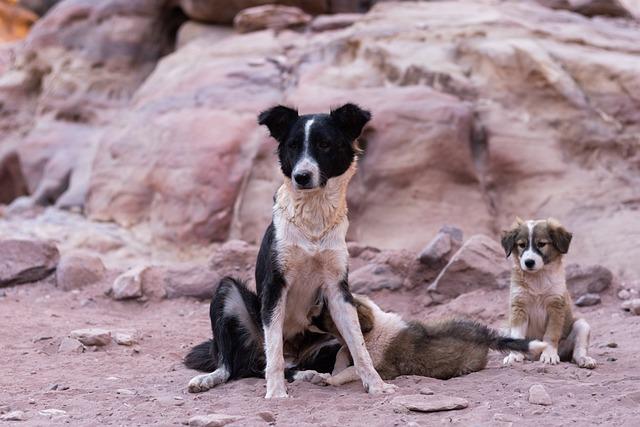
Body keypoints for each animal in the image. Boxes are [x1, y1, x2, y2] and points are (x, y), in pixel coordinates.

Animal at [185, 105, 396, 400]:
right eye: (293, 146)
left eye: (324, 145)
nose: (301, 177)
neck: (313, 219)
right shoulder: (276, 286)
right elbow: (273, 351)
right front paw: (275, 394)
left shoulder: (338, 291)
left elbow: (359, 346)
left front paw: (376, 385)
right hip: (228, 293)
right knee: (235, 364)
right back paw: (209, 379)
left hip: (327, 334)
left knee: (293, 365)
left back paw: (311, 374)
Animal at [292, 296, 544, 386]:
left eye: (326, 308)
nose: (307, 314)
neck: (370, 332)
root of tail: (481, 333)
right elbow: (341, 355)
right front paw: (331, 370)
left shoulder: (382, 368)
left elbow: (352, 370)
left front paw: (330, 379)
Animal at [500, 219, 596, 370]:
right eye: (522, 245)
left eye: (541, 244)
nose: (529, 262)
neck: (538, 278)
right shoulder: (519, 305)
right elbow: (517, 335)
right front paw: (514, 356)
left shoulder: (556, 306)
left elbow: (551, 335)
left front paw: (549, 355)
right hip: (504, 330)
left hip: (582, 326)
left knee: (577, 352)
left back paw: (584, 360)